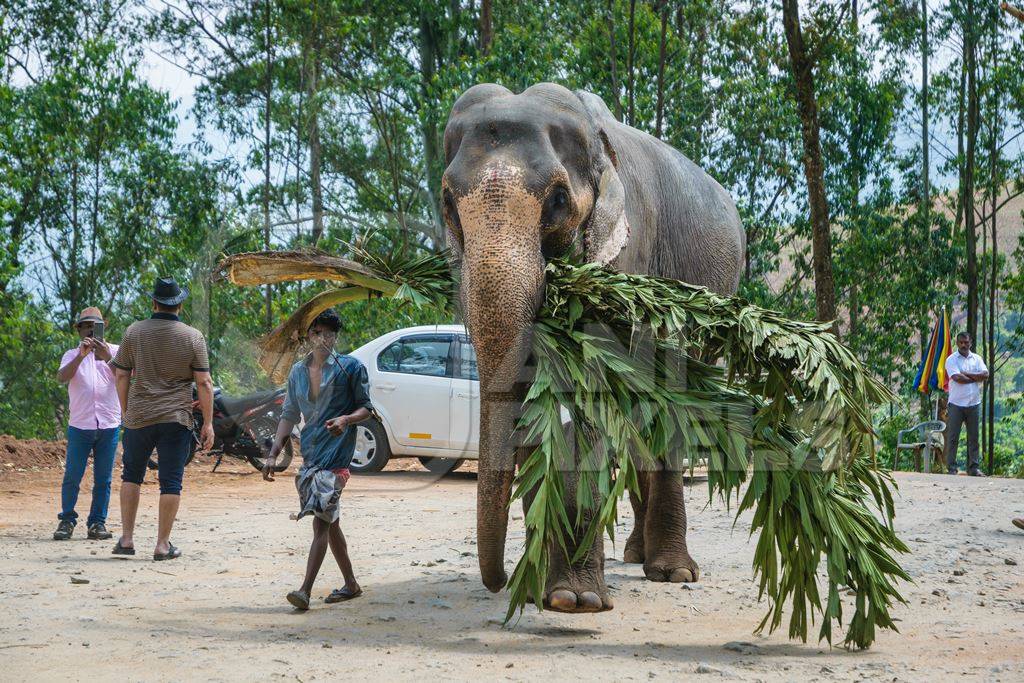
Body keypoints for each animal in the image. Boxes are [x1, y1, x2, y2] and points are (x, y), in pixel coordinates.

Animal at [442, 82, 745, 618]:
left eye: (559, 199)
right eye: (447, 204)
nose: (497, 582)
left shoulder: (626, 256)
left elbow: (588, 403)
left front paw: (574, 600)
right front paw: (545, 593)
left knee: (669, 410)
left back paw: (672, 572)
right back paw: (637, 556)